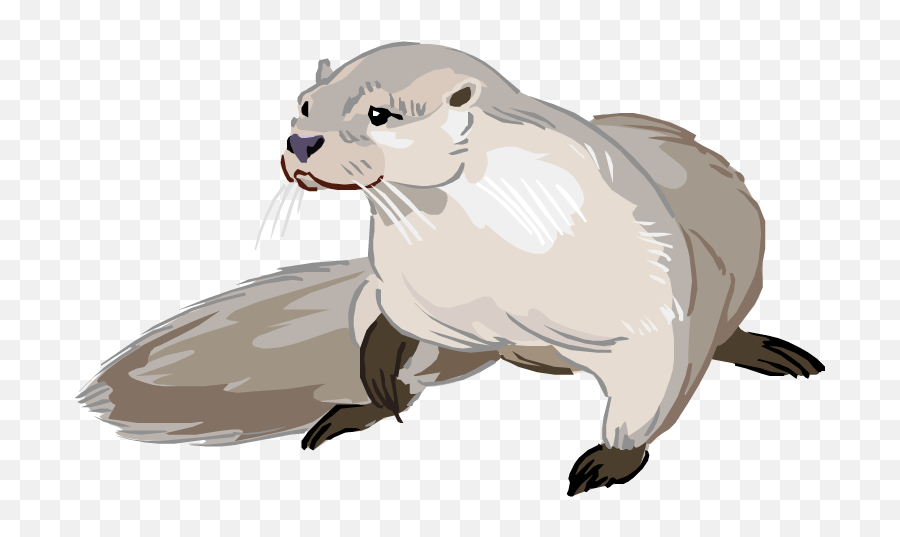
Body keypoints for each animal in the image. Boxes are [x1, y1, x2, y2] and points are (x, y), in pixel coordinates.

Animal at [278, 42, 823, 496]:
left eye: (379, 114)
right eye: (304, 104)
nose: (302, 142)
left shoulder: (655, 314)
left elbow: (651, 391)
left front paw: (611, 460)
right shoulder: (412, 292)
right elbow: (379, 314)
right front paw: (376, 377)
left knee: (718, 335)